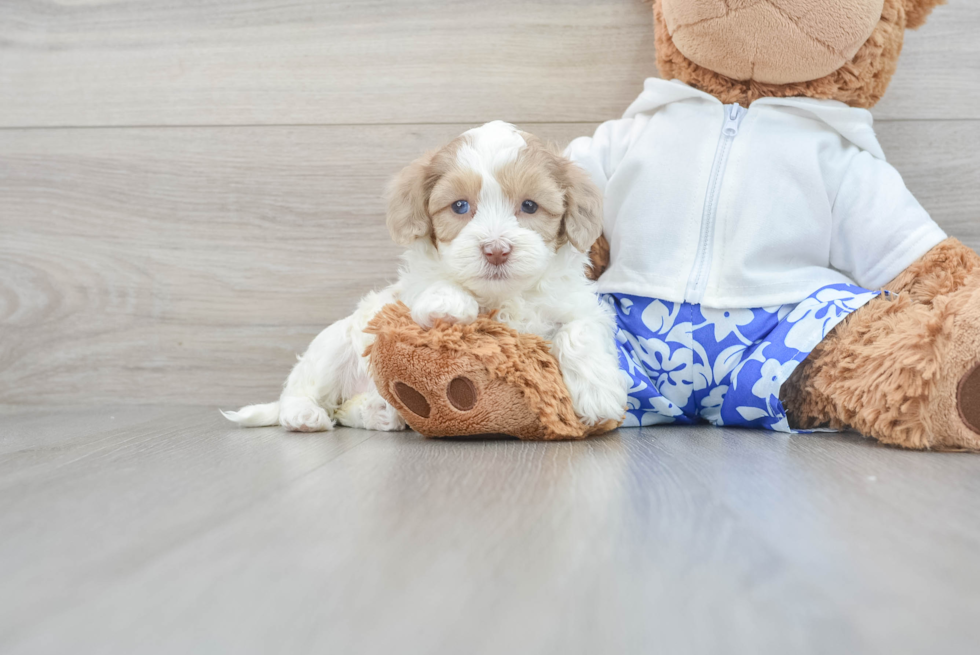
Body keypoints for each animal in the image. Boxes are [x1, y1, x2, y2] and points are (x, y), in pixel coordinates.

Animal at [222, 120, 624, 434]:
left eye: (529, 206)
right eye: (460, 206)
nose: (496, 249)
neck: (502, 296)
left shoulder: (579, 304)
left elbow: (579, 330)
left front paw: (599, 395)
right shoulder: (408, 291)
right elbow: (431, 284)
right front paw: (450, 303)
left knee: (345, 410)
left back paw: (380, 412)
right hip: (332, 346)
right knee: (304, 389)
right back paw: (304, 414)